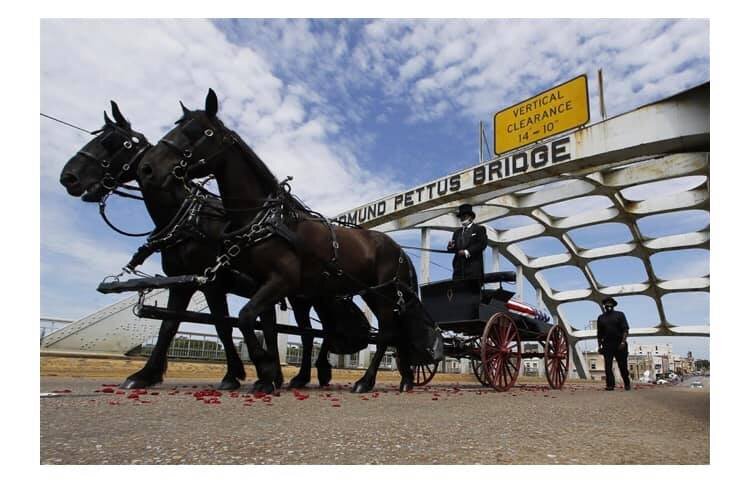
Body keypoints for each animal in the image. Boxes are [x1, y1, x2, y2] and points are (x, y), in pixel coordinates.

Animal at [60, 103, 336, 392]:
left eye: (112, 142)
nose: (68, 177)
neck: (190, 218)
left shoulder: (212, 284)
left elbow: (222, 326)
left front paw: (233, 375)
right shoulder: (181, 281)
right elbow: (169, 324)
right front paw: (146, 374)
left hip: (311, 296)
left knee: (316, 332)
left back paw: (308, 373)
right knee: (286, 329)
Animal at [140, 89, 424, 392]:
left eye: (199, 131)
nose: (147, 168)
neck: (264, 218)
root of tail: (400, 251)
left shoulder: (279, 281)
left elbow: (245, 318)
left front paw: (264, 369)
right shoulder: (261, 285)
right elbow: (259, 325)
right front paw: (269, 373)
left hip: (383, 294)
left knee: (385, 334)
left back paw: (366, 381)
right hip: (370, 293)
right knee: (393, 333)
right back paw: (405, 378)